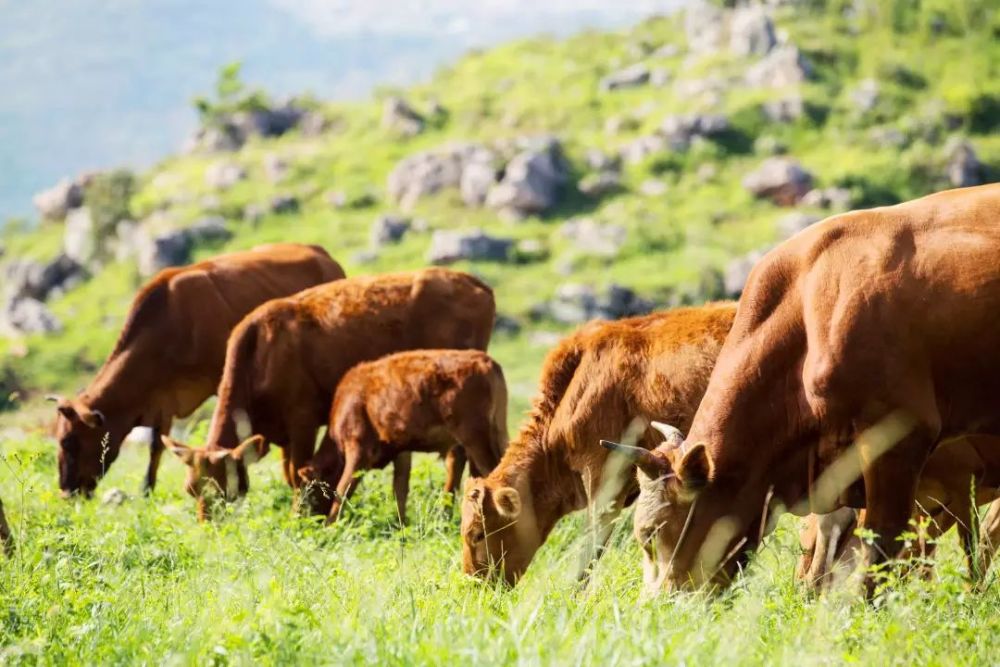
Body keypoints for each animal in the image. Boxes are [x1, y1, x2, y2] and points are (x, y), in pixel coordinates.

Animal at [51, 243, 348, 498]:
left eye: (68, 441)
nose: (66, 490)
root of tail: (320, 253)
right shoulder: (162, 400)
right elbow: (156, 445)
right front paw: (147, 489)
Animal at [296, 348, 508, 524]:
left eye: (305, 487)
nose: (296, 516)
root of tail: (486, 362)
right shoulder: (400, 449)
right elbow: (400, 487)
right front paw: (401, 524)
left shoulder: (358, 450)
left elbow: (343, 488)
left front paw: (330, 526)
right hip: (495, 433)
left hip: (474, 438)